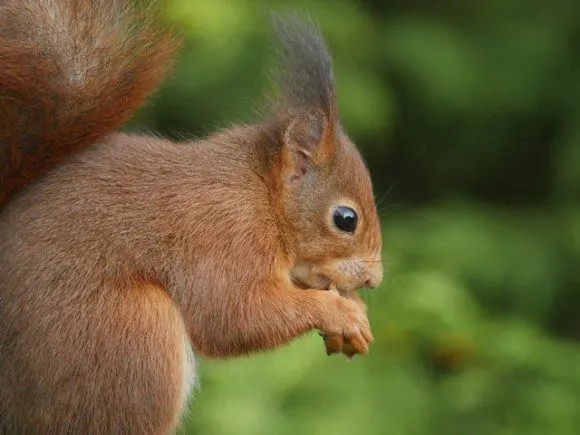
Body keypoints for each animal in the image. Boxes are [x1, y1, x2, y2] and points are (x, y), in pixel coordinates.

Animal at [0, 0, 382, 432]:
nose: (374, 280)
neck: (262, 195)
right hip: (124, 337)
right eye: (346, 219)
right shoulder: (224, 233)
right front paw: (339, 312)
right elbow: (232, 315)